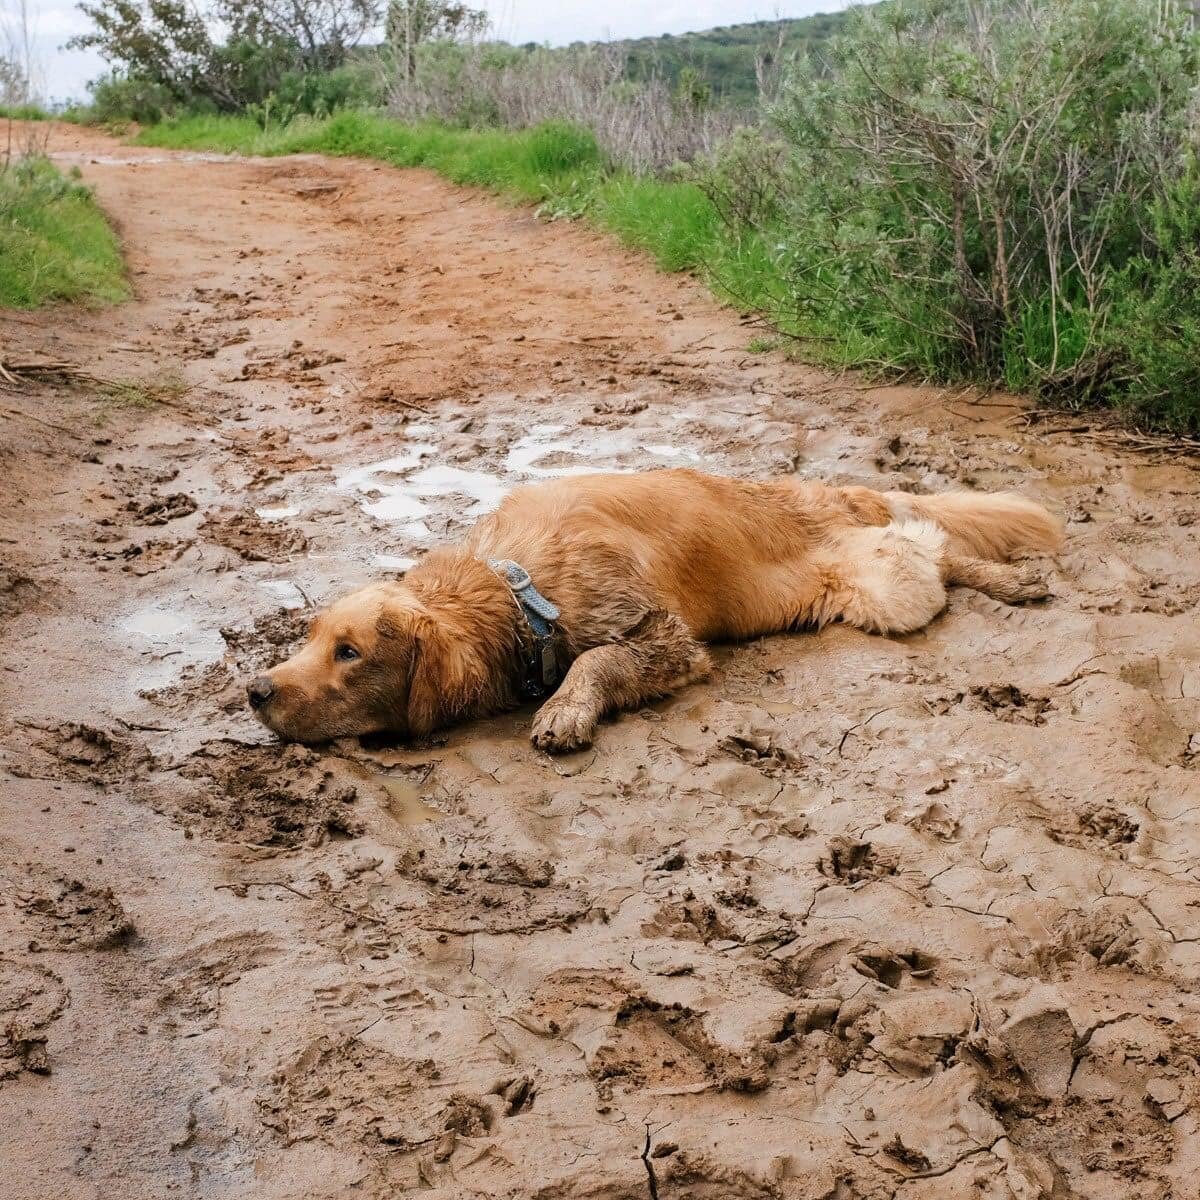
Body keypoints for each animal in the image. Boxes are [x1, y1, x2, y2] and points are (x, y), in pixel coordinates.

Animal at [243, 465, 1060, 748]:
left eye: (350, 652)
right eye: (308, 637)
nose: (253, 690)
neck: (517, 588)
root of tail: (838, 490)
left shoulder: (663, 635)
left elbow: (599, 660)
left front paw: (565, 711)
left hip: (885, 585)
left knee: (934, 547)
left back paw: (1012, 582)